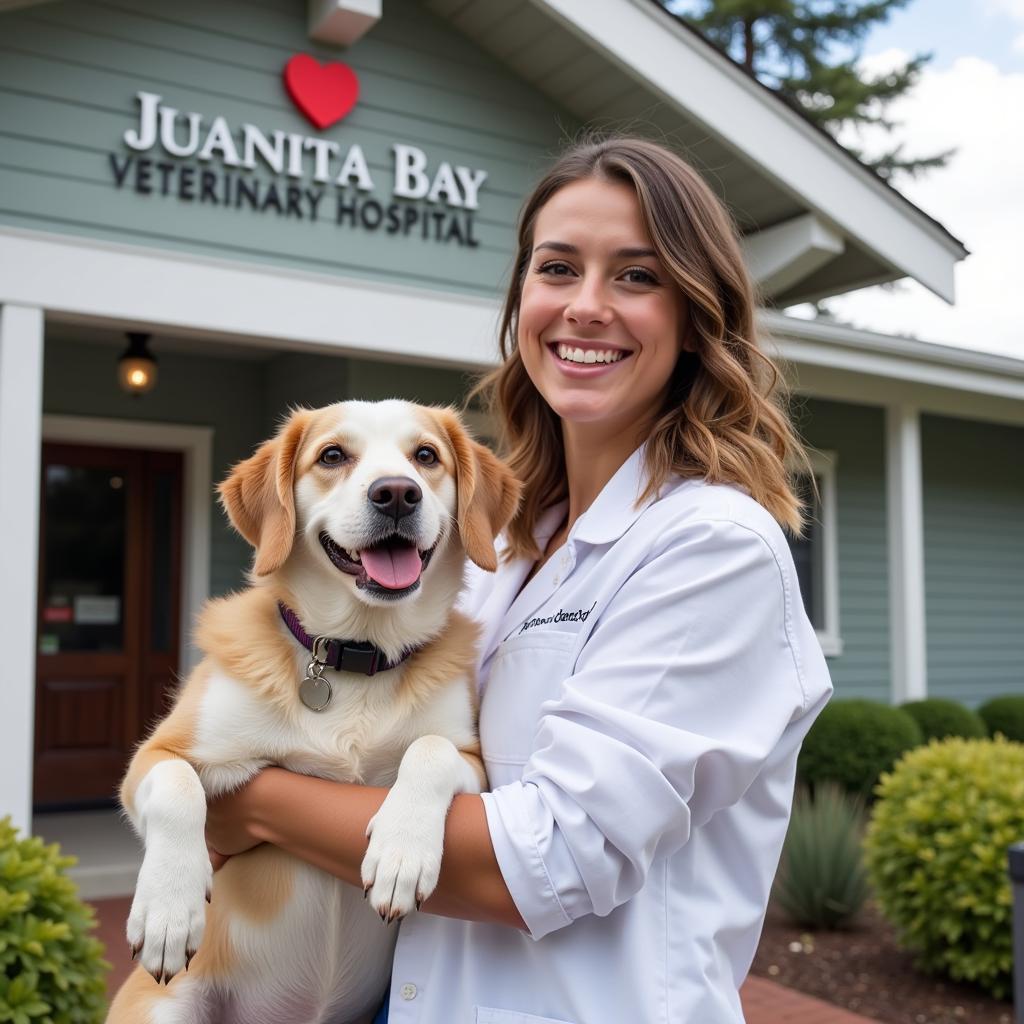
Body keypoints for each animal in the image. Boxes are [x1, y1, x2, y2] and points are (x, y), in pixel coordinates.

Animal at [108, 399, 520, 1024]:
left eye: (426, 456)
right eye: (331, 456)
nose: (397, 494)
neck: (357, 656)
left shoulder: (473, 762)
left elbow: (430, 750)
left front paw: (401, 851)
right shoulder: (158, 754)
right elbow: (177, 785)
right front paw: (168, 909)